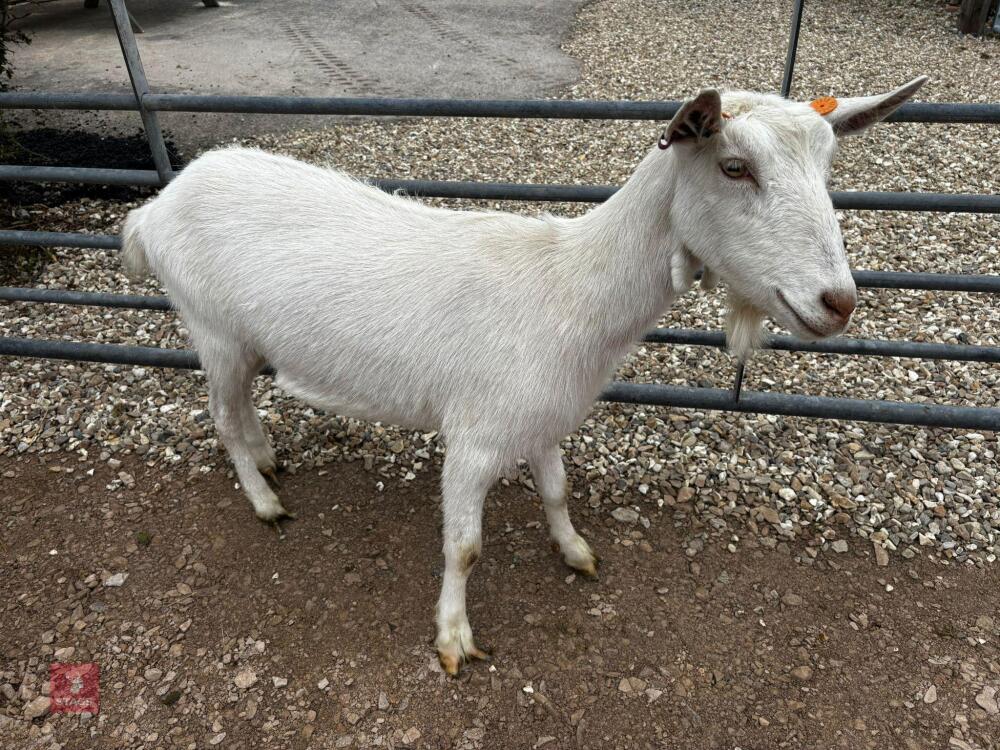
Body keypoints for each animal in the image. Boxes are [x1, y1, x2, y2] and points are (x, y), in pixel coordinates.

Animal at [121, 77, 926, 674]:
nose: (838, 302)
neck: (568, 288)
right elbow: (464, 546)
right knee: (224, 417)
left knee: (245, 411)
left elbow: (557, 490)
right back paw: (264, 501)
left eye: (827, 168)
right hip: (211, 330)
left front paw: (575, 552)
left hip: (241, 338)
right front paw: (452, 640)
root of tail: (155, 206)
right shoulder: (475, 435)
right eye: (734, 166)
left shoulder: (544, 414)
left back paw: (268, 459)